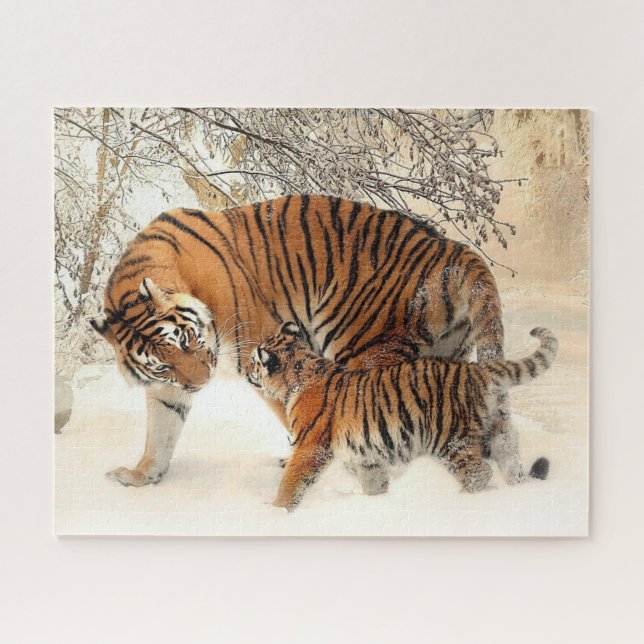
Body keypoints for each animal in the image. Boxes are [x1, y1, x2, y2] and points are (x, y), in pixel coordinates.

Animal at [90, 194, 520, 488]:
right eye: (162, 363)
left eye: (186, 340)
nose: (201, 382)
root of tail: (453, 250)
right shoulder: (168, 386)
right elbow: (161, 430)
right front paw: (141, 475)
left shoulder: (261, 351)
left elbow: (299, 413)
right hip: (448, 358)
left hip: (366, 350)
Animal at [246, 322, 558, 511]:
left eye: (253, 361)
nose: (246, 371)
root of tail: (477, 369)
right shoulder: (365, 454)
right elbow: (373, 482)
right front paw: (377, 503)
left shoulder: (310, 447)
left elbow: (291, 482)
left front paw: (276, 512)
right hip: (496, 429)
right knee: (509, 456)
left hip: (450, 439)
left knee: (479, 473)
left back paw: (461, 501)